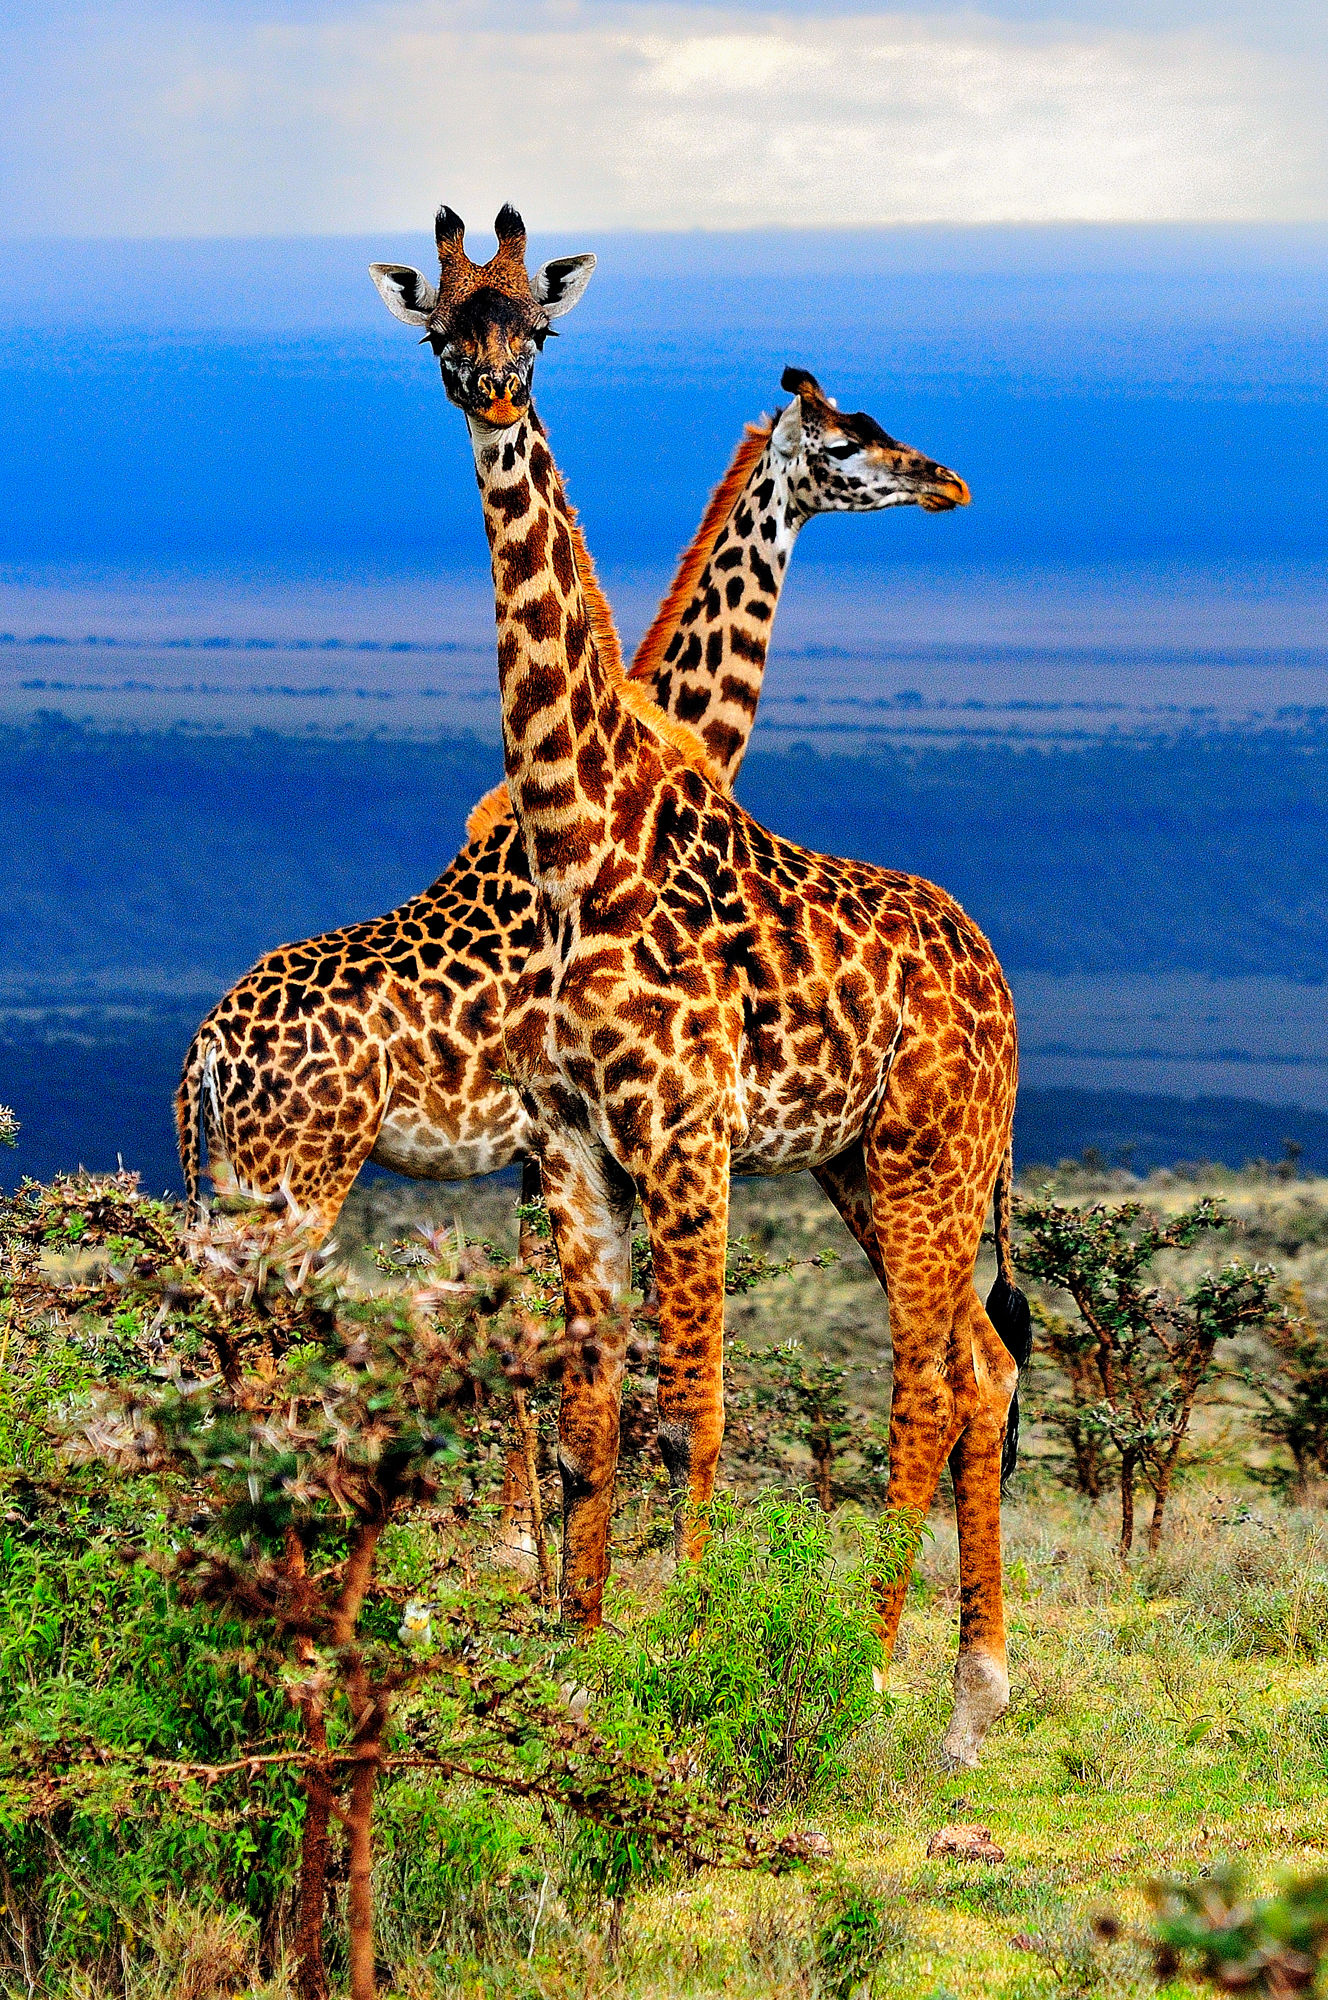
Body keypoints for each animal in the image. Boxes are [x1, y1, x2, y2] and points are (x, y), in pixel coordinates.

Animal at [176, 346, 970, 1250]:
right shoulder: (569, 1125)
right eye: (844, 444)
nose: (946, 481)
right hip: (295, 1169)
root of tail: (203, 1052)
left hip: (232, 1169)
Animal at [393, 202, 1027, 1768]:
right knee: (974, 1367)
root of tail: (1000, 989)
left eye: (536, 323)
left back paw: (894, 1680)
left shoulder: (687, 1137)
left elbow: (693, 1408)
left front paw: (681, 1648)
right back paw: (961, 1690)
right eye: (440, 320)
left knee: (940, 1376)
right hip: (871, 1167)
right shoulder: (574, 1143)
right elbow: (594, 1408)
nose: (946, 479)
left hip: (922, 1161)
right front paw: (570, 1652)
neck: (590, 828)